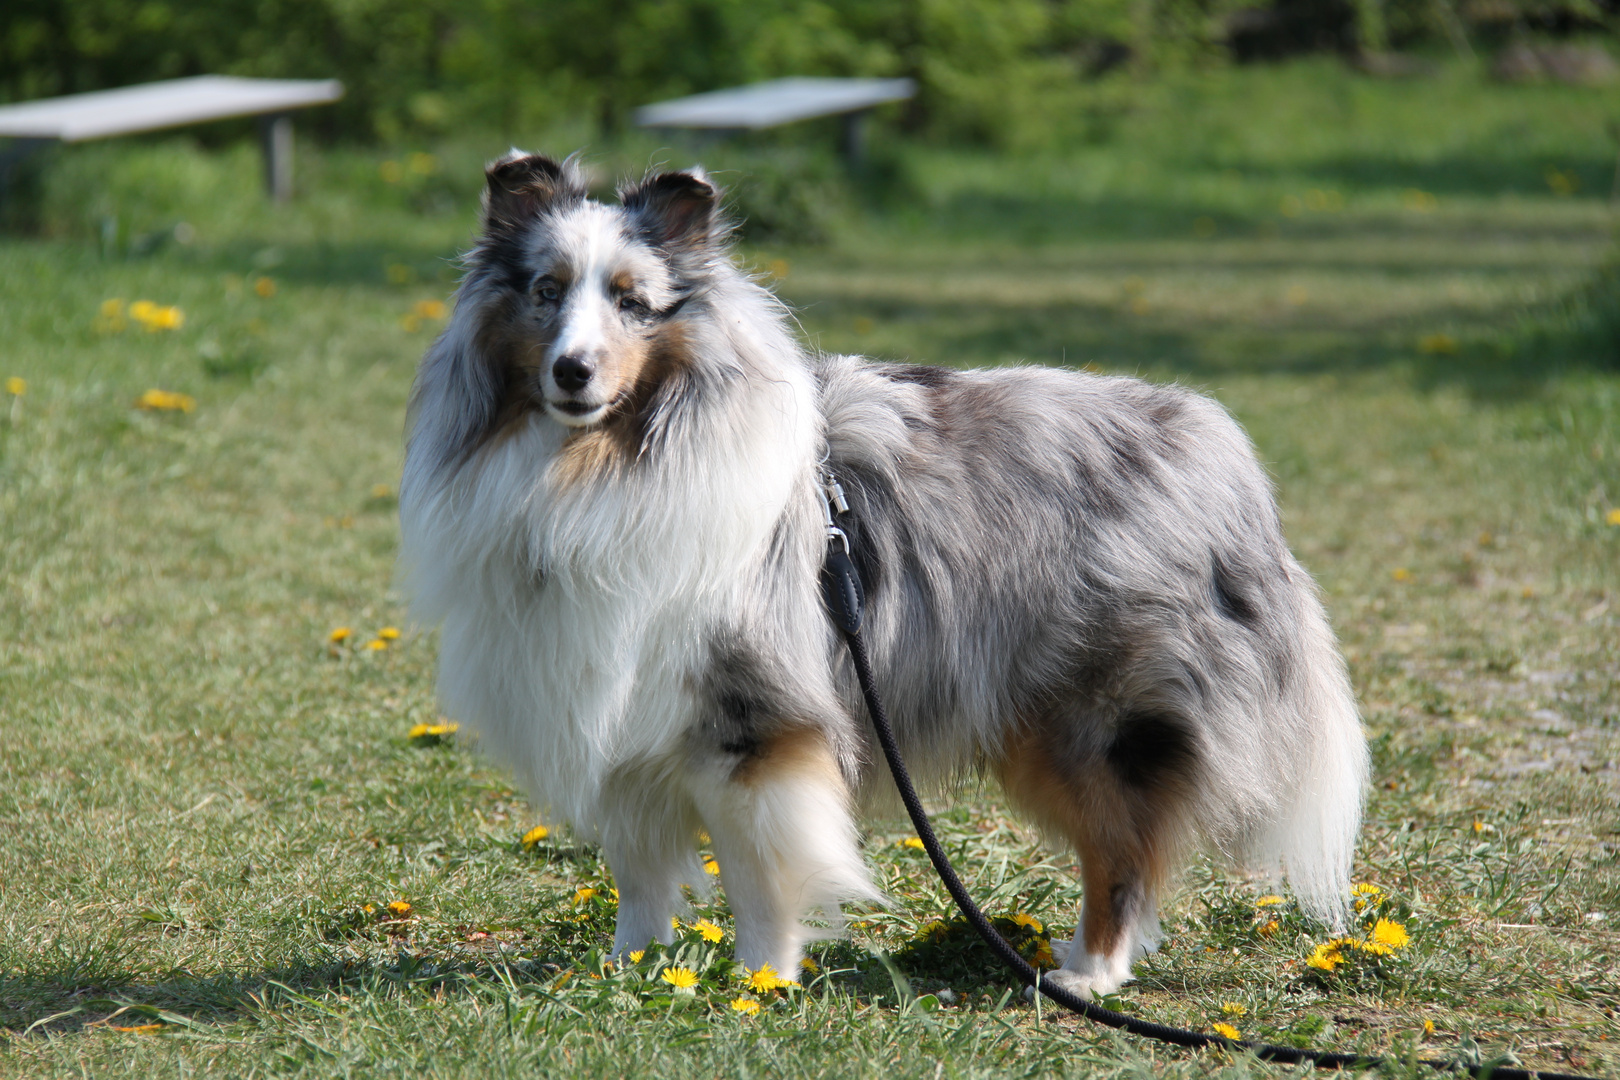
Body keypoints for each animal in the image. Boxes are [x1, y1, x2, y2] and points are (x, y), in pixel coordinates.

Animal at [405, 152, 1367, 997]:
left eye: (632, 302)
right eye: (545, 292)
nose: (572, 371)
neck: (604, 460)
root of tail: (1219, 452)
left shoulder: (754, 719)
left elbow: (758, 872)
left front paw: (761, 979)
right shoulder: (620, 707)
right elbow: (638, 873)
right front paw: (631, 970)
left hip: (1094, 721)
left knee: (1122, 848)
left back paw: (1088, 973)